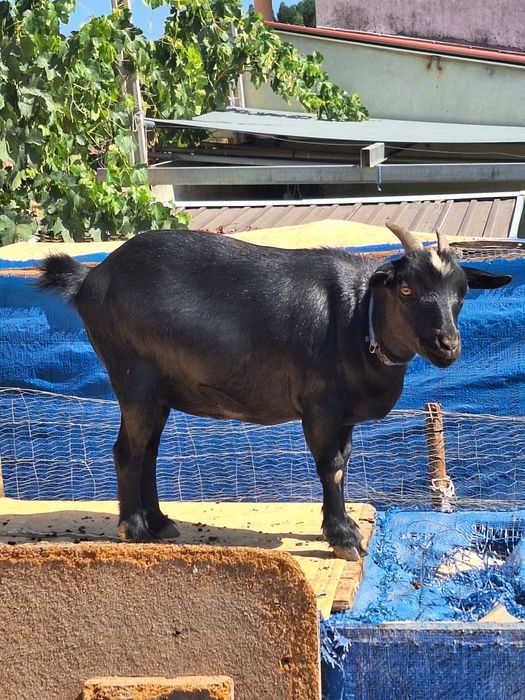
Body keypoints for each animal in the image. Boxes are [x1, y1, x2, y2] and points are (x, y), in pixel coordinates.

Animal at [38, 223, 511, 560]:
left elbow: (344, 463)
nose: (448, 346)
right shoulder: (320, 406)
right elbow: (330, 466)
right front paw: (344, 538)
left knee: (148, 451)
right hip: (134, 379)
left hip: (159, 393)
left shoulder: (344, 414)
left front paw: (341, 527)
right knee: (127, 451)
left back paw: (160, 522)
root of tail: (90, 279)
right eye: (407, 288)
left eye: (462, 293)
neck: (359, 318)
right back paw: (134, 528)